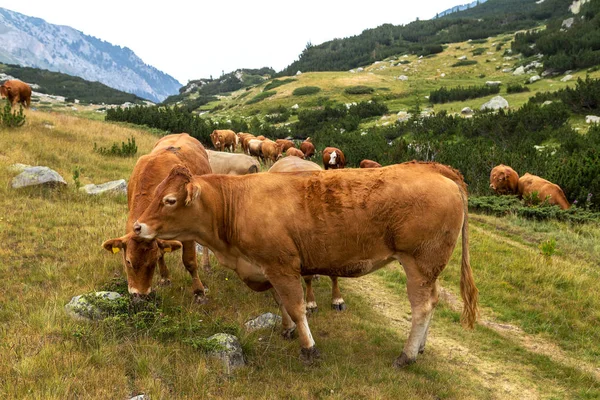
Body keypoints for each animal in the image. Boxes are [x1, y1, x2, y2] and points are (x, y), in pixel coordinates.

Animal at [103, 133, 213, 302]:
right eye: (128, 261)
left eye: (152, 262)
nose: (140, 294)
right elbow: (162, 251)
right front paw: (165, 277)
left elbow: (189, 261)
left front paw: (199, 292)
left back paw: (206, 265)